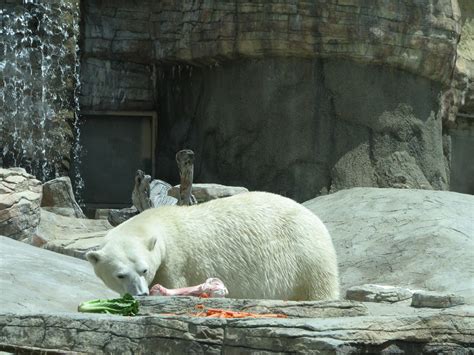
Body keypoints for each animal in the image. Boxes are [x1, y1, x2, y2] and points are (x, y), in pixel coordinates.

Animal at [87, 192, 340, 300]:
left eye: (144, 270)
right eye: (120, 275)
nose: (141, 293)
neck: (159, 222)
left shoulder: (176, 262)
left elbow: (174, 282)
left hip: (305, 256)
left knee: (317, 287)